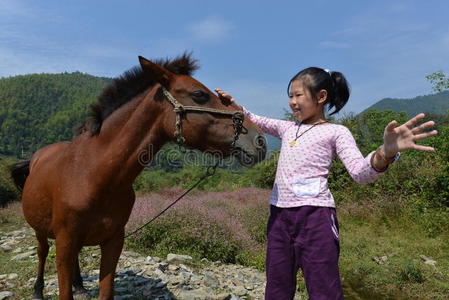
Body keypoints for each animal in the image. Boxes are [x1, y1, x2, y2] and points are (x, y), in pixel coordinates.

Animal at [9, 54, 266, 300]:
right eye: (199, 95)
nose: (259, 141)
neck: (95, 176)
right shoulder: (65, 242)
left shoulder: (113, 241)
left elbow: (105, 292)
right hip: (41, 231)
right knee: (42, 252)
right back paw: (38, 290)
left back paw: (80, 286)